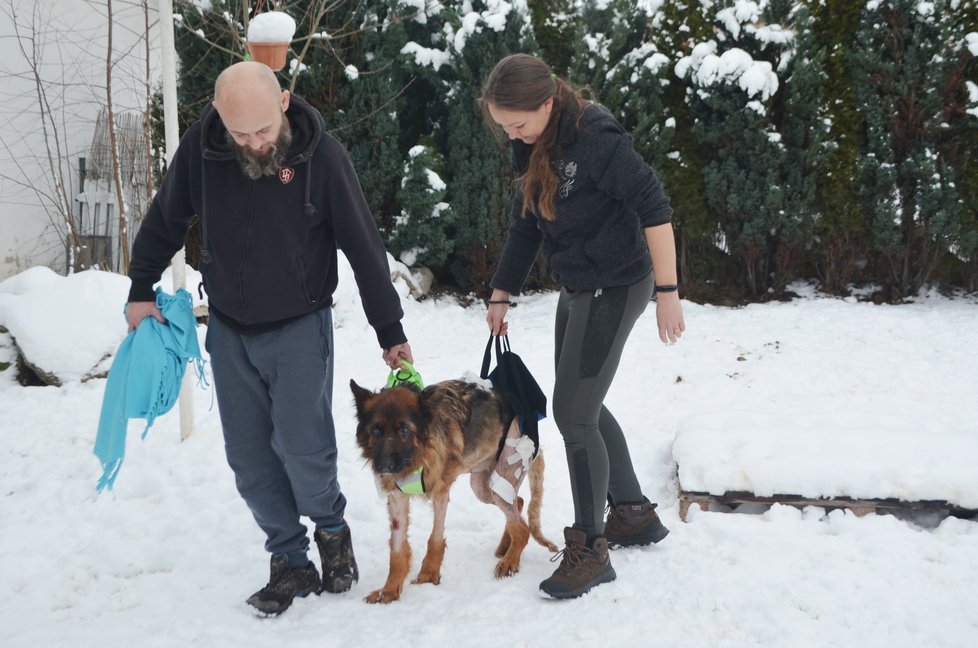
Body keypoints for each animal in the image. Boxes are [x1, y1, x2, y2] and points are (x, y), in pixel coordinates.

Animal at [348, 378, 556, 604]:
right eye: (376, 431)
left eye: (404, 430)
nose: (384, 466)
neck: (418, 456)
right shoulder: (397, 499)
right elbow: (397, 550)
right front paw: (389, 590)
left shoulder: (440, 493)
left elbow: (435, 538)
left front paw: (429, 575)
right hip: (482, 487)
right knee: (518, 504)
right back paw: (505, 547)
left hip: (499, 479)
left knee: (523, 528)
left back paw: (510, 562)